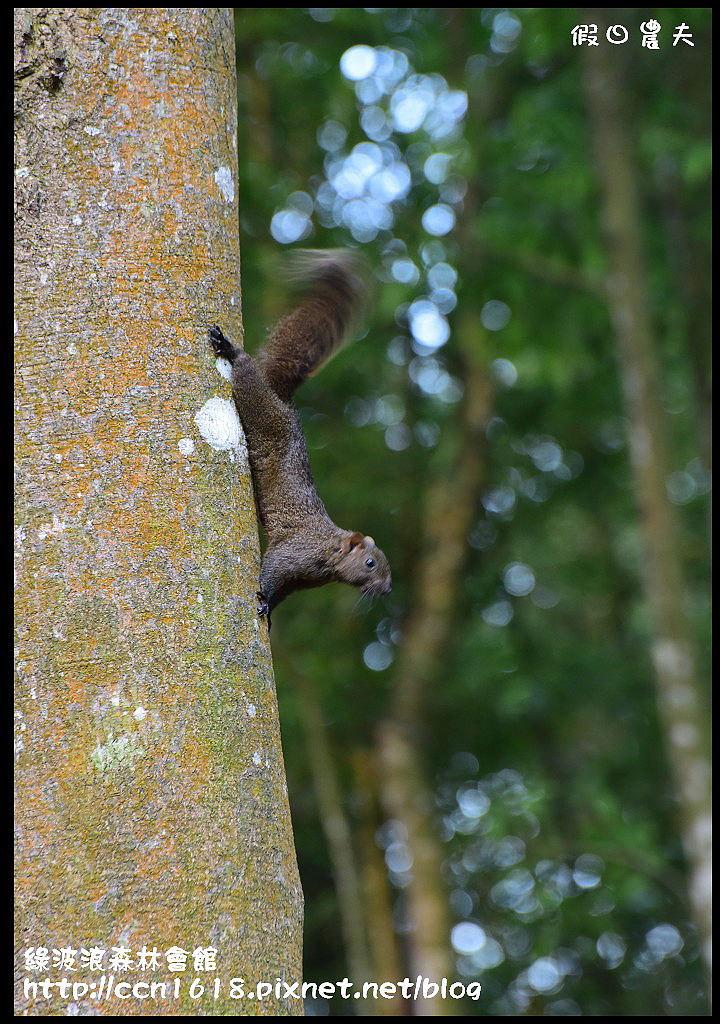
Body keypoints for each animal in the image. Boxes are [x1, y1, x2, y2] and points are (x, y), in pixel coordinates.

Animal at [208, 250, 393, 626]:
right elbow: (271, 571)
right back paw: (232, 351)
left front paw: (271, 608)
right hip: (260, 407)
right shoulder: (295, 553)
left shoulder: (301, 580)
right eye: (370, 563)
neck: (329, 552)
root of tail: (282, 396)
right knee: (246, 373)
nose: (386, 589)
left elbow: (282, 591)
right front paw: (263, 602)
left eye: (388, 568)